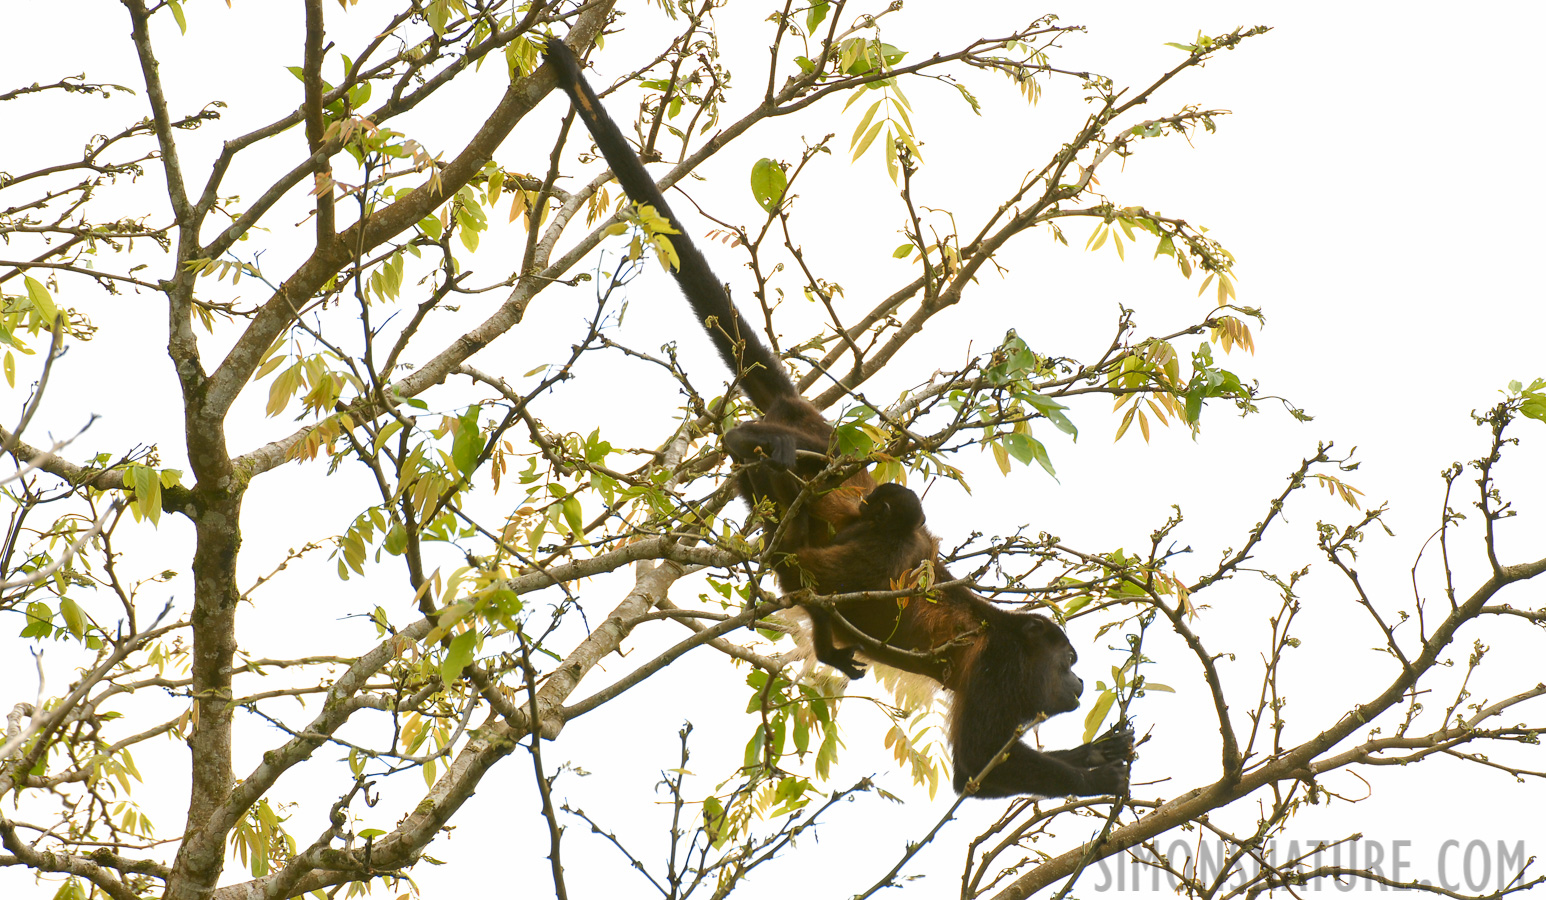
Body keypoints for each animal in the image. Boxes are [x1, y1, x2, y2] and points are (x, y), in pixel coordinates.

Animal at [550, 38, 1131, 797]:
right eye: (1065, 663)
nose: (1082, 686)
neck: (1009, 638)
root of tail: (809, 419)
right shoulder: (1001, 670)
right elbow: (977, 772)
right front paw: (1100, 775)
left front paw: (1103, 750)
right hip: (826, 463)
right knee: (893, 511)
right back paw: (765, 464)